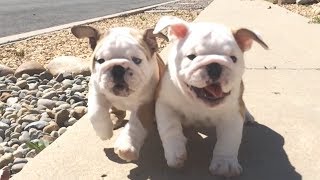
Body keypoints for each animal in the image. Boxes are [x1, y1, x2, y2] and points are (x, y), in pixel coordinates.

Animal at [72, 25, 168, 162]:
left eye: (137, 60)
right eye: (100, 60)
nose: (117, 68)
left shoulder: (144, 105)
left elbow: (135, 125)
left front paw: (127, 146)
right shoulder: (96, 90)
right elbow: (96, 113)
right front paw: (104, 132)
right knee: (118, 111)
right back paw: (113, 119)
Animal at [152, 16, 268, 177]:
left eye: (233, 58)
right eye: (191, 57)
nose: (214, 66)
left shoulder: (232, 115)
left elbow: (229, 138)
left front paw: (225, 164)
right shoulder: (165, 104)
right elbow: (170, 128)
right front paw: (175, 153)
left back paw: (248, 116)